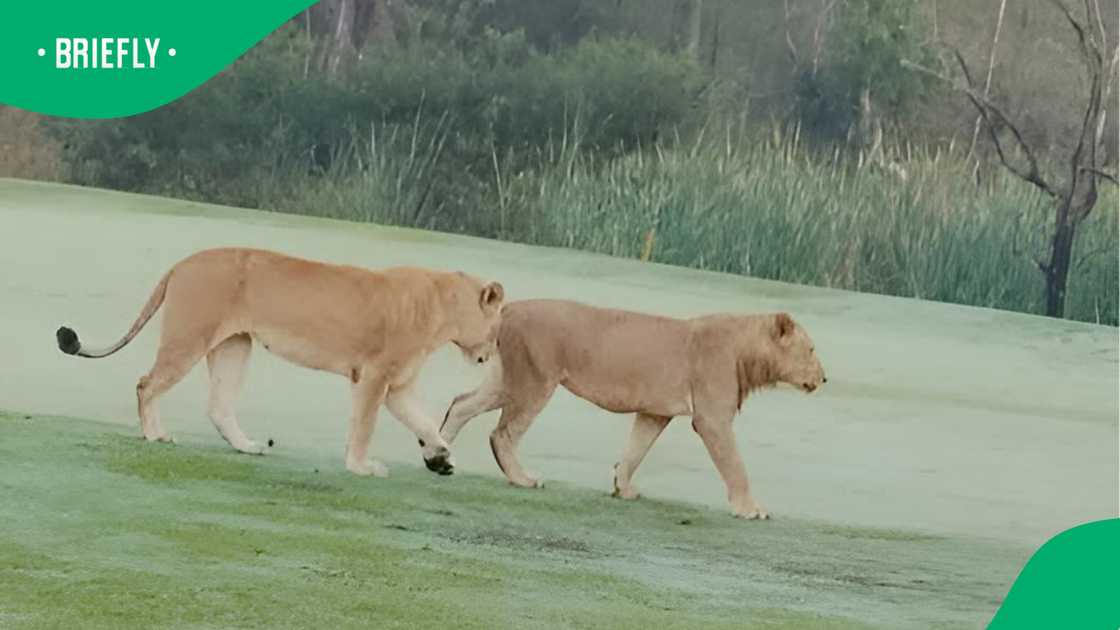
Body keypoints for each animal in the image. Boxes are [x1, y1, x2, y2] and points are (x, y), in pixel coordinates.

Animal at [55, 247, 505, 478]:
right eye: (499, 324)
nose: (488, 354)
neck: (444, 308)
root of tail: (182, 262)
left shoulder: (398, 384)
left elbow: (424, 420)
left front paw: (439, 456)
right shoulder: (375, 376)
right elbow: (365, 425)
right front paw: (360, 466)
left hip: (234, 345)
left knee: (218, 405)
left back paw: (248, 446)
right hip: (190, 337)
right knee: (147, 384)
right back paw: (155, 434)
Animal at [439, 299, 826, 519]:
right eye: (810, 349)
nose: (824, 378)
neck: (747, 350)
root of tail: (510, 308)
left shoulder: (655, 411)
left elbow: (636, 449)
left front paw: (622, 487)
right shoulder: (712, 418)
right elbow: (735, 465)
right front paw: (750, 509)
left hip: (505, 380)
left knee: (460, 403)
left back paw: (440, 458)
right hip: (534, 381)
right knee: (502, 433)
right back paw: (523, 478)